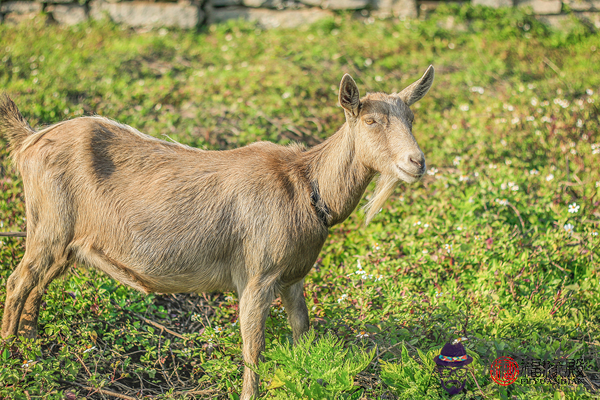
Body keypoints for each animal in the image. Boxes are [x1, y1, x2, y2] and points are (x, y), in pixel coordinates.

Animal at [0, 67, 434, 398]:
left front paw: (305, 373)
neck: (306, 187)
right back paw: (10, 355)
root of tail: (28, 140)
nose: (417, 161)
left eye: (412, 119)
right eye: (371, 120)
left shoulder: (293, 277)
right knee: (18, 280)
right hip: (49, 226)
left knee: (38, 285)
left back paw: (33, 349)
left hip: (67, 242)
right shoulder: (257, 275)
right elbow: (253, 347)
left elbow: (302, 331)